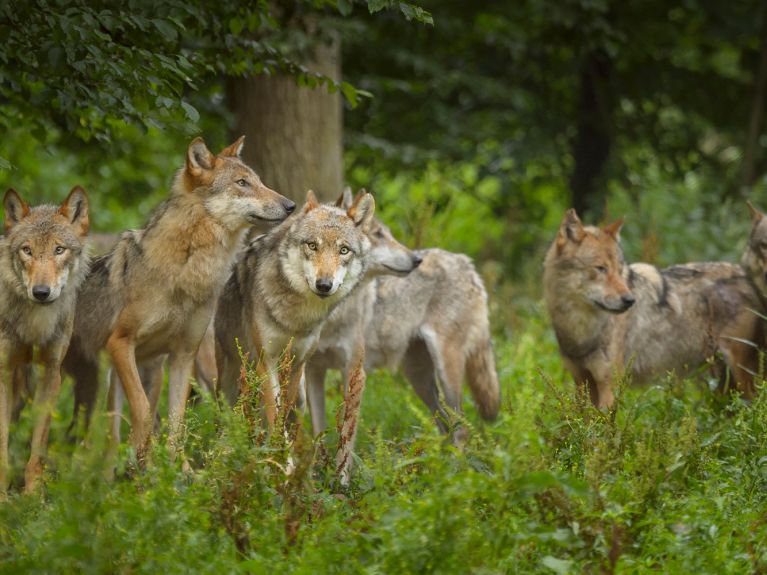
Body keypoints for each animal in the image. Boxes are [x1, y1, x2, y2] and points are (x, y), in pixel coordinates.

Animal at [0, 187, 90, 492]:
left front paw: (31, 495)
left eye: (58, 250)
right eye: (27, 250)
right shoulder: (2, 373)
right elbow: (2, 447)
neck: (34, 324)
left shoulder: (52, 373)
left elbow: (37, 449)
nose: (41, 292)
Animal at [63, 136, 294, 460]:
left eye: (259, 181)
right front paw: (143, 464)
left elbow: (176, 424)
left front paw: (168, 469)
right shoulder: (120, 343)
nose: (290, 205)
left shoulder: (183, 355)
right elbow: (143, 411)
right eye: (242, 183)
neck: (187, 266)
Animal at [214, 189, 376, 432]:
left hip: (300, 394)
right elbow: (275, 416)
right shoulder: (266, 361)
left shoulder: (297, 363)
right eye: (312, 245)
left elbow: (283, 414)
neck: (295, 319)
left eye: (343, 250)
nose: (324, 285)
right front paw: (277, 444)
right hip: (230, 384)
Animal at [544, 209, 764, 408]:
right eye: (600, 268)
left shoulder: (609, 386)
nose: (630, 300)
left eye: (619, 270)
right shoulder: (582, 383)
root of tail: (748, 276)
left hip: (742, 374)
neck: (580, 329)